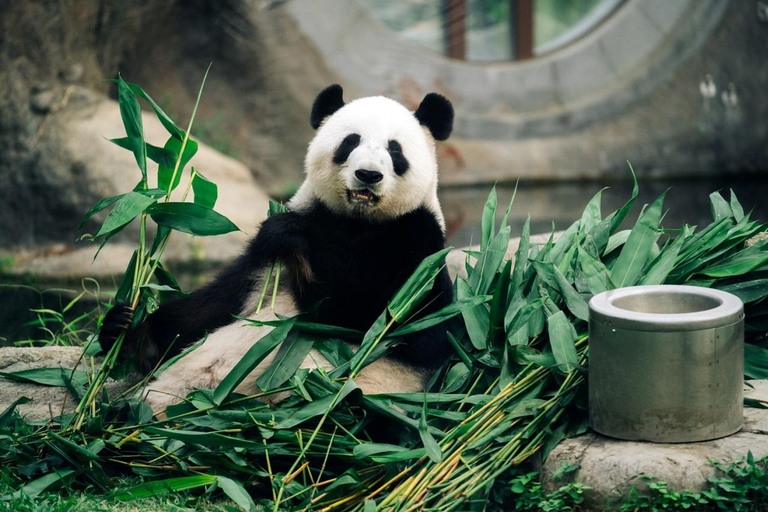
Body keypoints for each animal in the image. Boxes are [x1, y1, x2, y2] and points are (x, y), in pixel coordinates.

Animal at [100, 83, 456, 412]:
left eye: (395, 150)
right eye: (350, 142)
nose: (368, 174)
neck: (356, 220)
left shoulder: (416, 246)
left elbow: (363, 316)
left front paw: (294, 238)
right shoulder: (264, 261)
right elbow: (205, 309)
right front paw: (127, 332)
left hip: (358, 397)